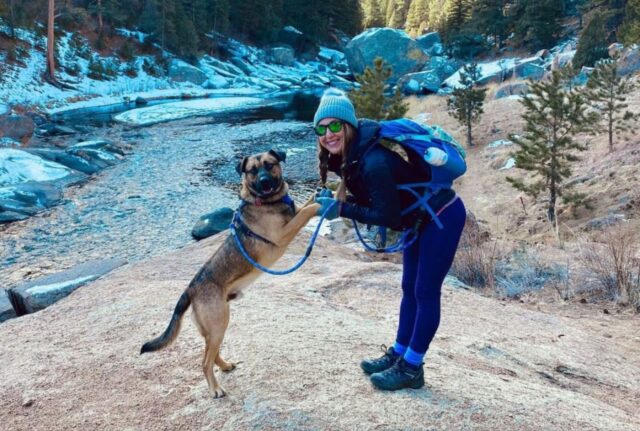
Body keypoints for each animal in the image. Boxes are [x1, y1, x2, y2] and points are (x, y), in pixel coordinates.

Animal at [141, 148, 320, 398]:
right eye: (252, 171)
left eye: (270, 164)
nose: (264, 182)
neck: (265, 200)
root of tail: (191, 288)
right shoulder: (282, 233)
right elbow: (308, 211)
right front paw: (328, 202)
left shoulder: (294, 213)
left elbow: (306, 204)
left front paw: (324, 192)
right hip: (219, 323)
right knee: (204, 361)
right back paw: (215, 389)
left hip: (213, 328)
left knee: (211, 353)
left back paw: (225, 366)